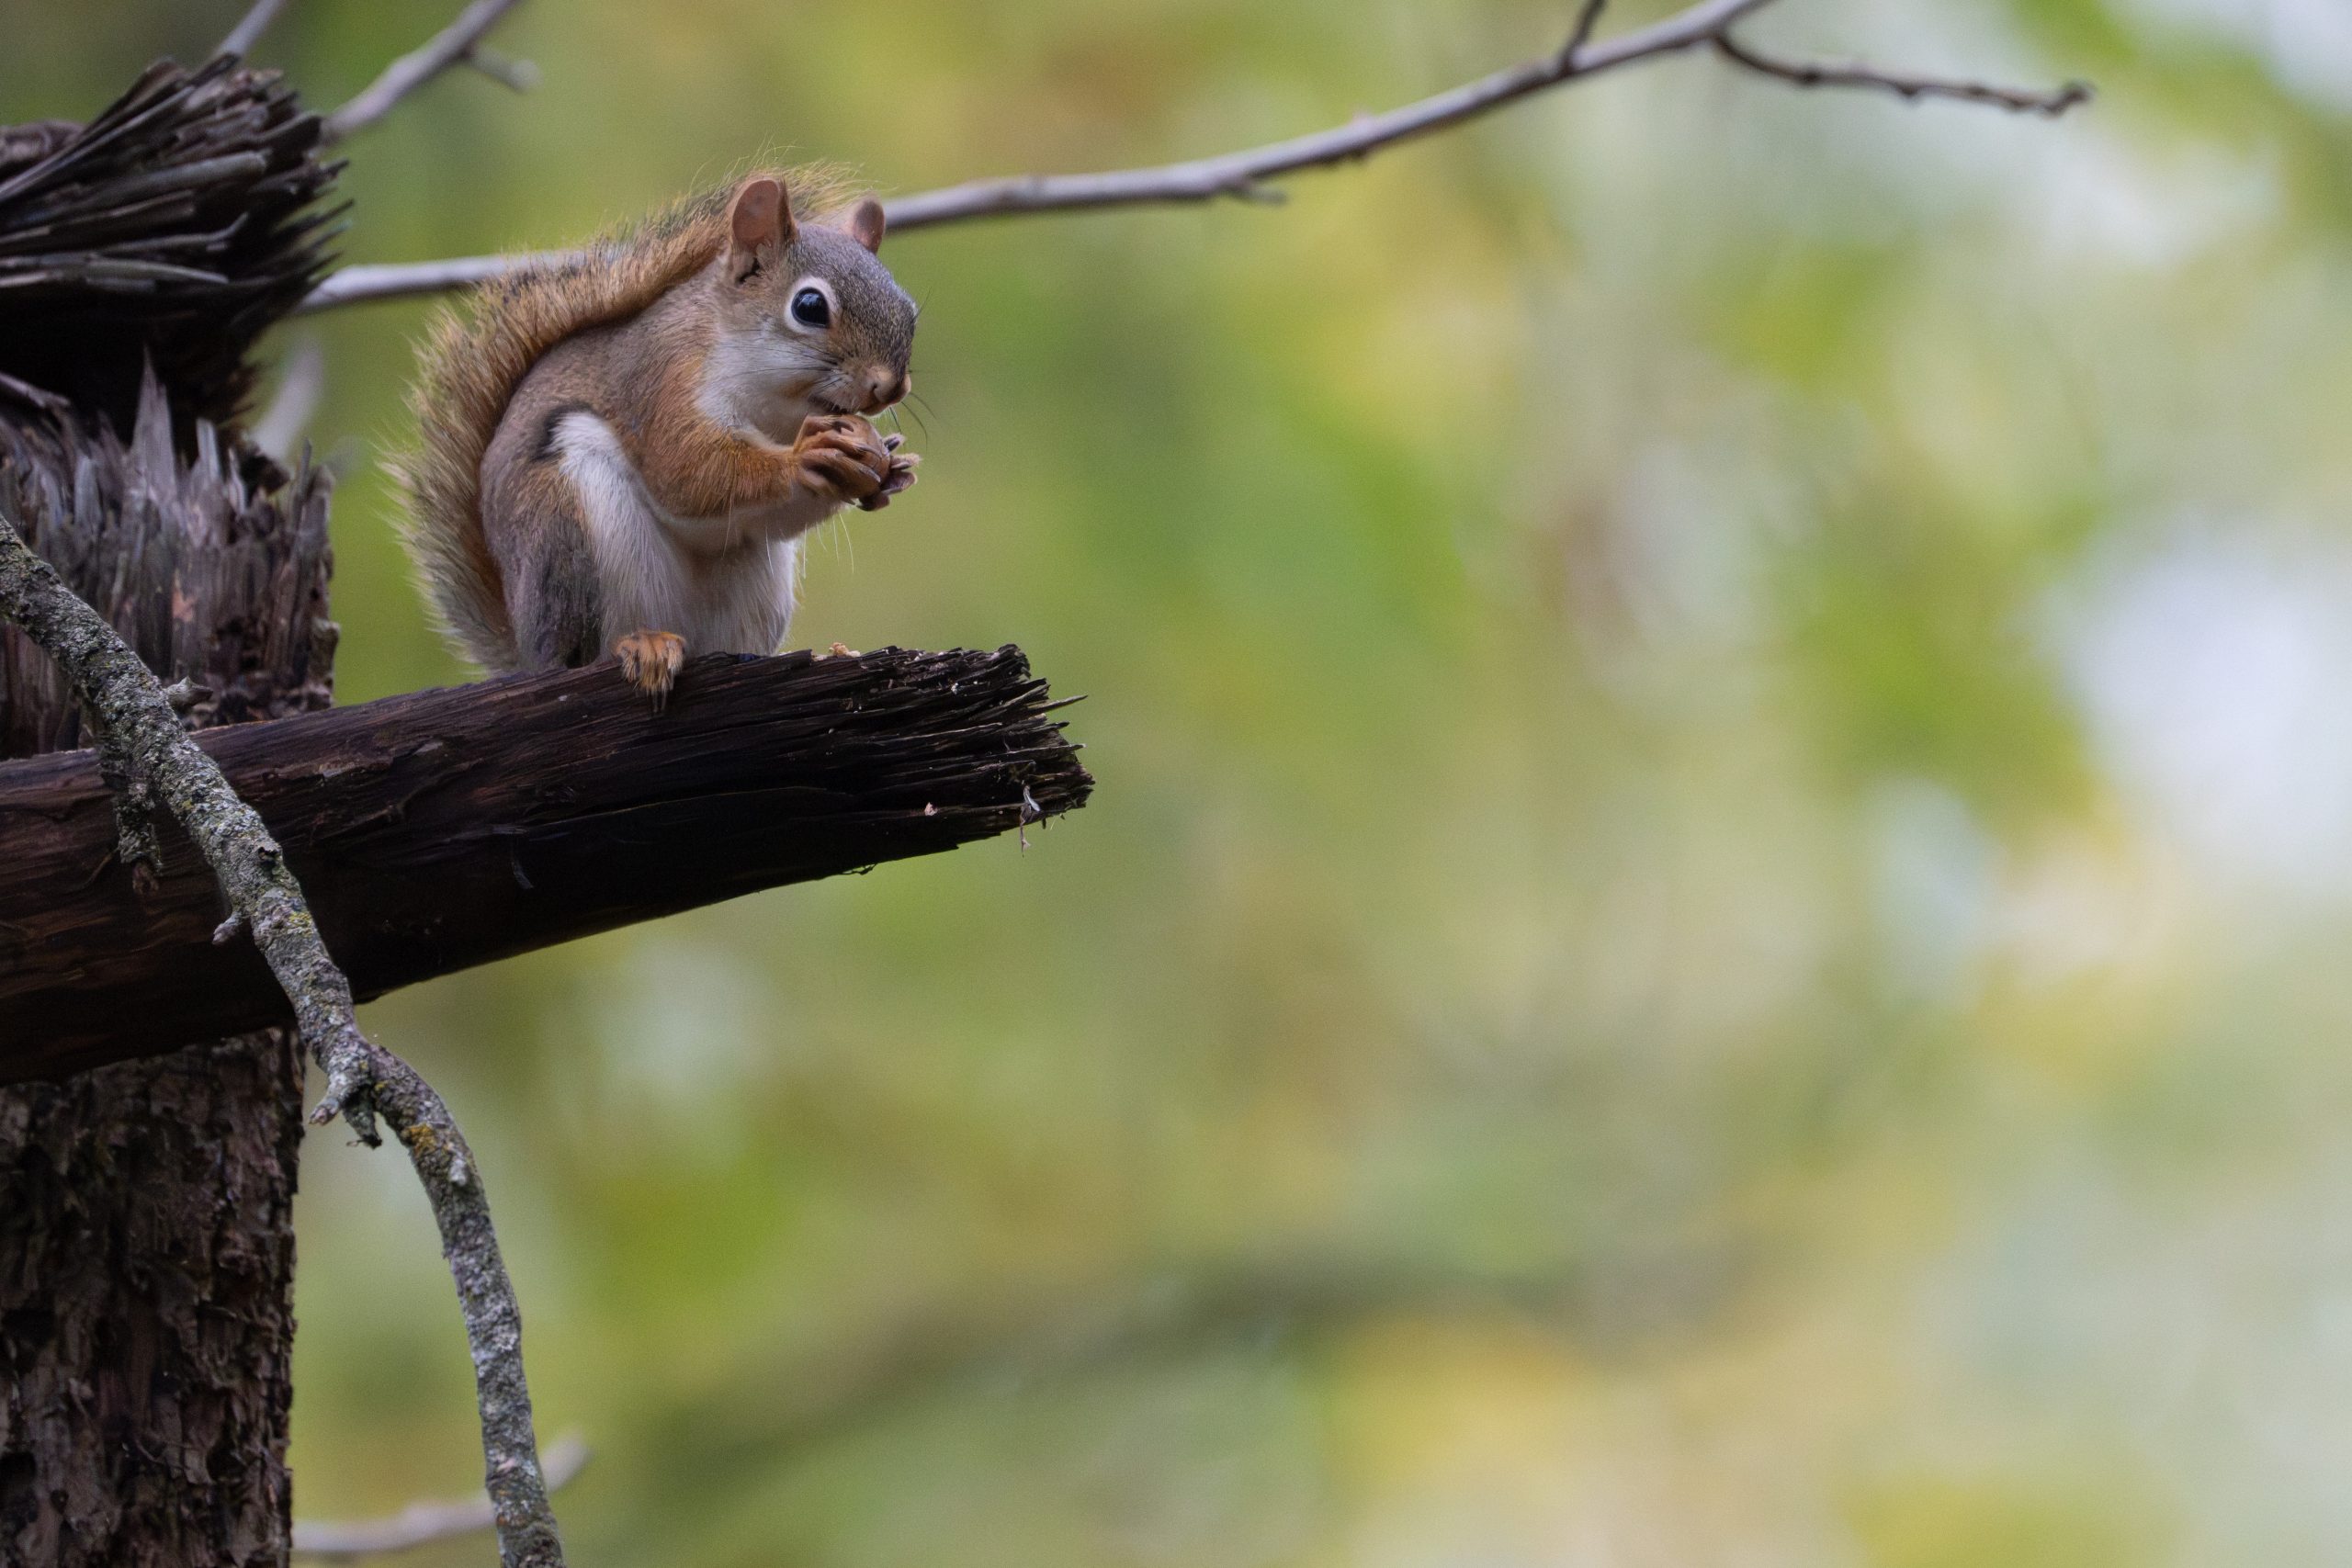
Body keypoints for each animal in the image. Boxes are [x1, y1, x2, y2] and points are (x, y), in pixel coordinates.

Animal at [396, 168, 919, 704]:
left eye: (909, 310)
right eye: (809, 306)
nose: (890, 387)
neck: (775, 407)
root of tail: (526, 651)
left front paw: (889, 470)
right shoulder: (662, 384)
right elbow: (686, 471)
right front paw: (806, 458)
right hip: (568, 536)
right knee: (583, 655)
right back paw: (641, 645)